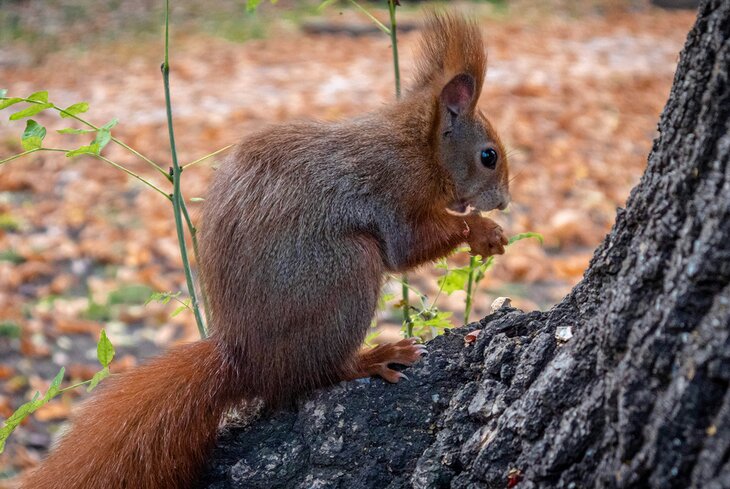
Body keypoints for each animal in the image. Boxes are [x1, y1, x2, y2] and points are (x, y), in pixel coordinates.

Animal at [24, 12, 512, 488]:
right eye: (488, 156)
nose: (505, 201)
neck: (420, 145)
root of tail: (246, 361)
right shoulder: (393, 188)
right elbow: (407, 246)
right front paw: (483, 230)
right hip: (345, 271)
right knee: (317, 373)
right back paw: (372, 358)